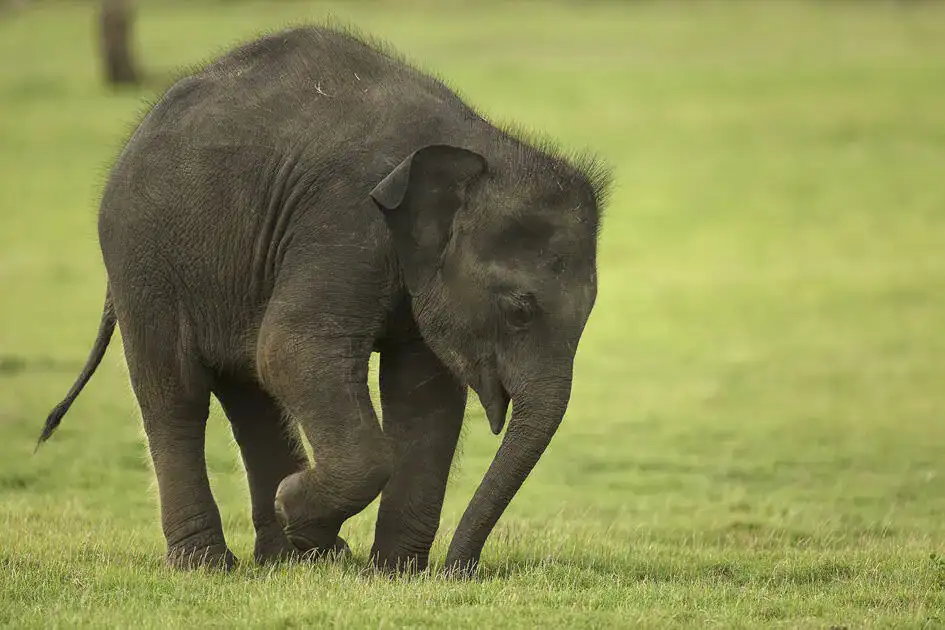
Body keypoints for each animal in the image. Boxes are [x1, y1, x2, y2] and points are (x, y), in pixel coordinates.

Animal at [38, 25, 610, 576]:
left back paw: (290, 556)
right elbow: (292, 349)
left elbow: (424, 395)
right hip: (145, 262)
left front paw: (392, 572)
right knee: (177, 395)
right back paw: (212, 563)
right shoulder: (344, 220)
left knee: (250, 395)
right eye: (518, 310)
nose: (457, 570)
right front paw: (299, 510)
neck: (476, 147)